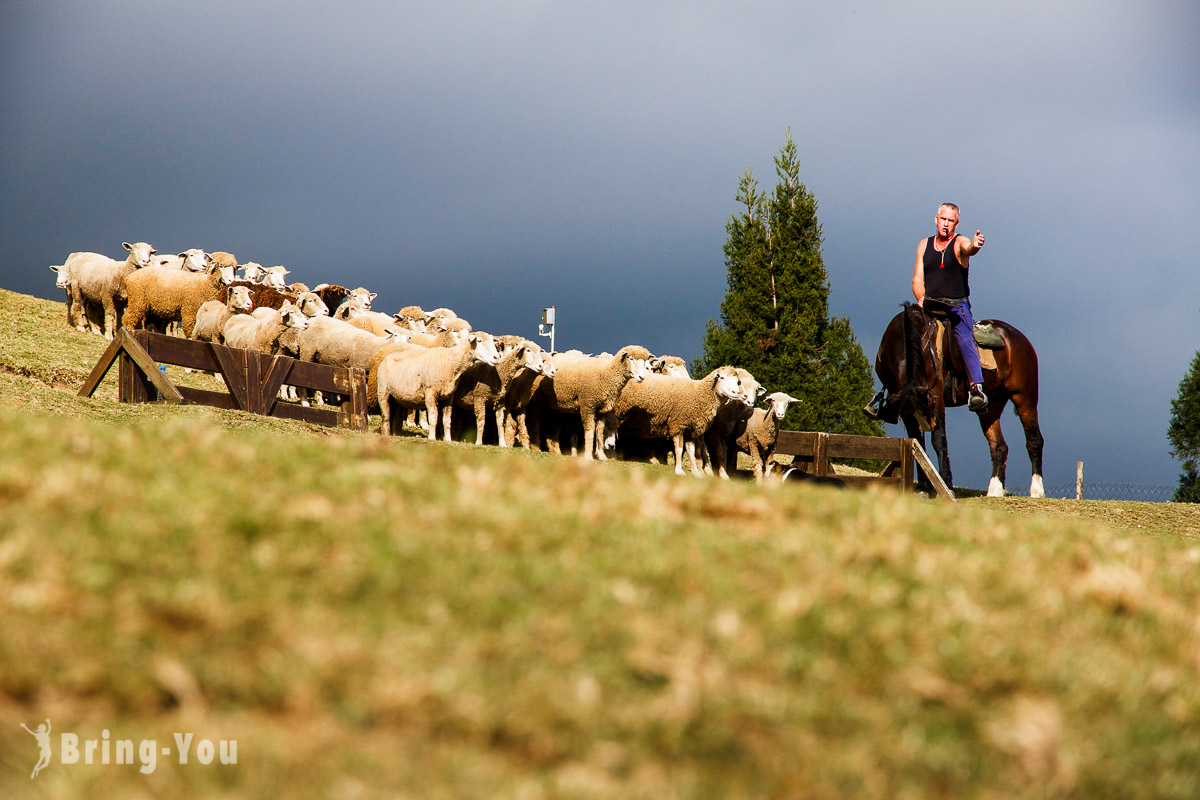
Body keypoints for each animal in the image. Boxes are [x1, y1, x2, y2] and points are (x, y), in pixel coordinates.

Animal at [619, 367, 748, 474]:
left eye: (737, 381)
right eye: (722, 377)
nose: (736, 392)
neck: (698, 394)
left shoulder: (689, 430)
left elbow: (691, 451)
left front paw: (696, 472)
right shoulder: (678, 425)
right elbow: (679, 450)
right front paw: (679, 470)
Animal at [868, 302, 1046, 496]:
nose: (927, 425)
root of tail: (1017, 337)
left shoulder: (937, 398)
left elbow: (938, 440)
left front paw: (946, 484)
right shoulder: (906, 408)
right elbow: (917, 442)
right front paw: (923, 487)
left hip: (1025, 397)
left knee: (1034, 440)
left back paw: (1037, 490)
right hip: (991, 406)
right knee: (999, 446)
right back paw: (994, 490)